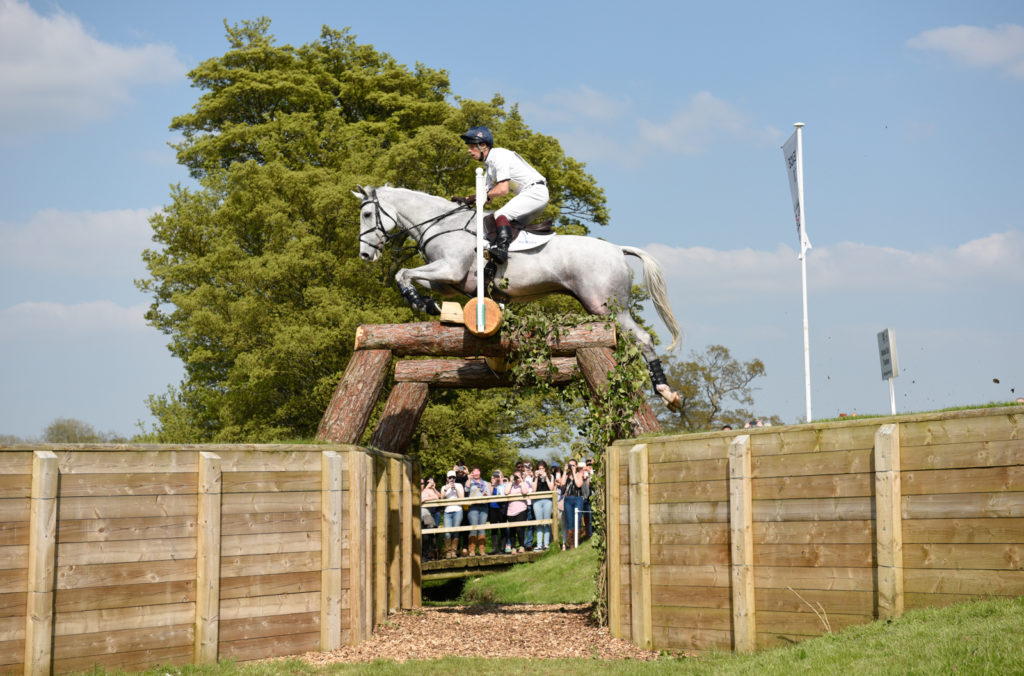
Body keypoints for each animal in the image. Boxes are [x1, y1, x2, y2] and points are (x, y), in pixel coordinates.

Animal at [356, 182, 684, 409]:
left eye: (368, 214)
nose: (365, 255)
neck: (441, 224)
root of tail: (616, 249)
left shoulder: (450, 268)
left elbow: (403, 273)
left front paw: (418, 302)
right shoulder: (450, 281)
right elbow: (412, 277)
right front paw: (430, 305)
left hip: (606, 306)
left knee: (642, 338)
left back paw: (666, 392)